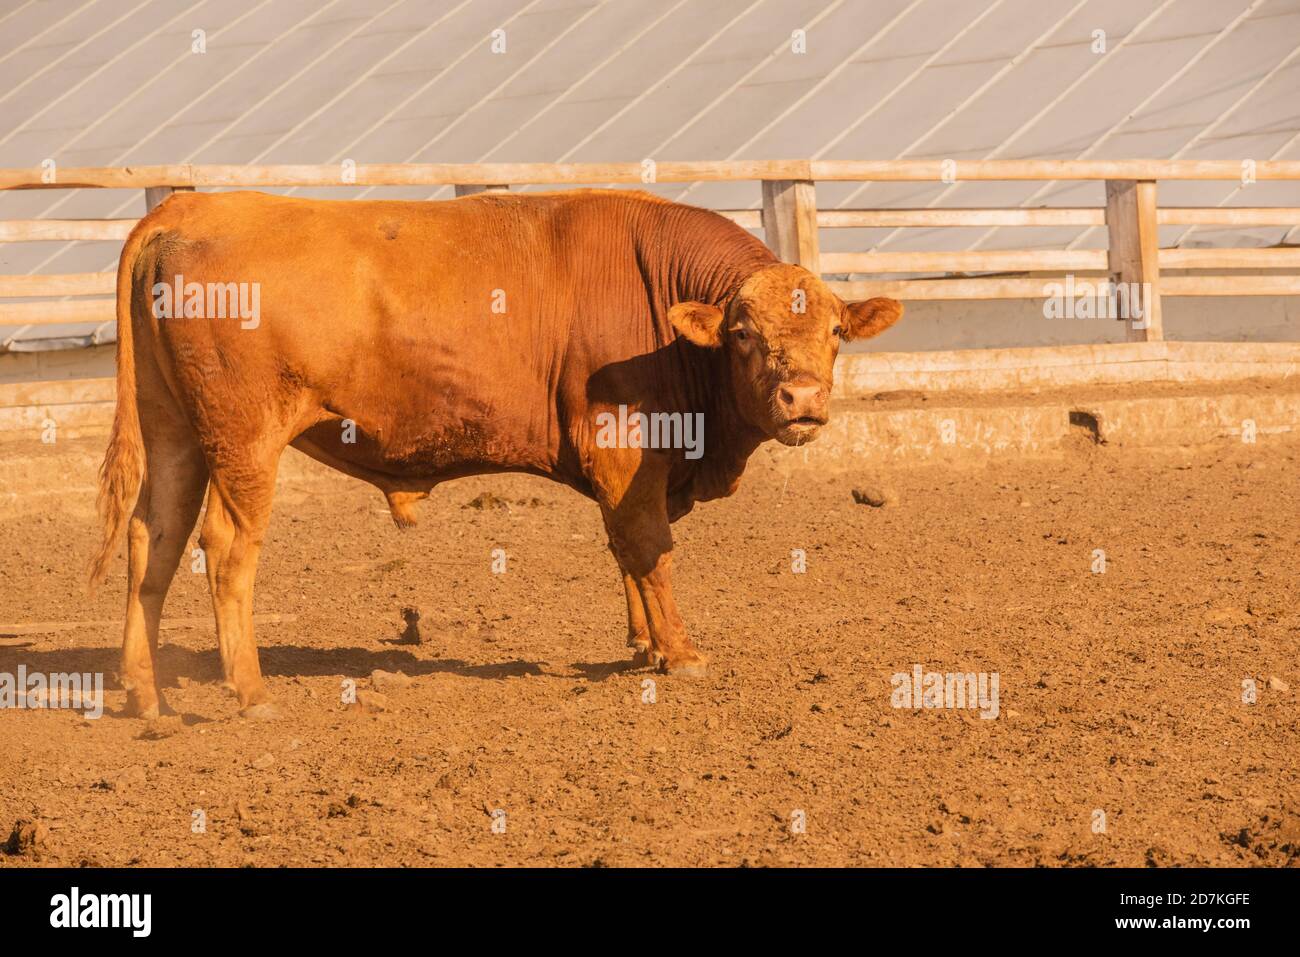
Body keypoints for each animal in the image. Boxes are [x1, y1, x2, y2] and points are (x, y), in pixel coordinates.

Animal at [90, 189, 902, 719]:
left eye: (834, 331)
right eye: (741, 333)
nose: (802, 398)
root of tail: (190, 207)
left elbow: (625, 551)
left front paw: (642, 644)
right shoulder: (624, 450)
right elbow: (649, 547)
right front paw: (679, 653)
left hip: (175, 434)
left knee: (152, 538)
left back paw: (146, 692)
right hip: (245, 442)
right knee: (225, 546)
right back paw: (251, 692)